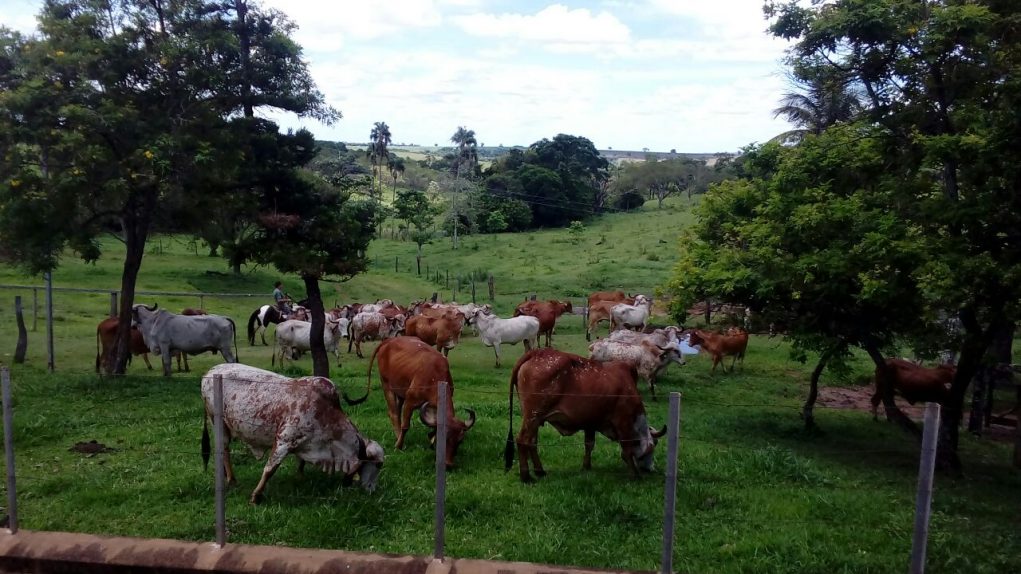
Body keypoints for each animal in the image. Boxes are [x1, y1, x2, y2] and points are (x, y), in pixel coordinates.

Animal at [199, 363, 383, 502]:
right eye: (378, 464)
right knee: (224, 449)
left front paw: (300, 476)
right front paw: (256, 496)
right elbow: (269, 469)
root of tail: (209, 372)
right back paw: (231, 479)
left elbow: (300, 462)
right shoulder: (284, 440)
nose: (372, 489)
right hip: (218, 423)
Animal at [355, 337, 477, 467]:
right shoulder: (410, 402)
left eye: (460, 441)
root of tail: (389, 340)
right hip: (386, 385)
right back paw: (398, 438)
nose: (448, 464)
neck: (434, 376)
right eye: (443, 439)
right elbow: (405, 426)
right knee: (393, 413)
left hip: (400, 392)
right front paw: (398, 446)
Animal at [504, 347, 665, 480]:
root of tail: (536, 352)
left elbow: (589, 444)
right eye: (653, 447)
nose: (651, 469)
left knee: (532, 442)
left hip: (534, 418)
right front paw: (635, 475)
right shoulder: (623, 421)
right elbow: (627, 449)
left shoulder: (590, 422)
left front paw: (586, 466)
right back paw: (526, 477)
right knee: (522, 440)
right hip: (533, 415)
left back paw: (540, 471)